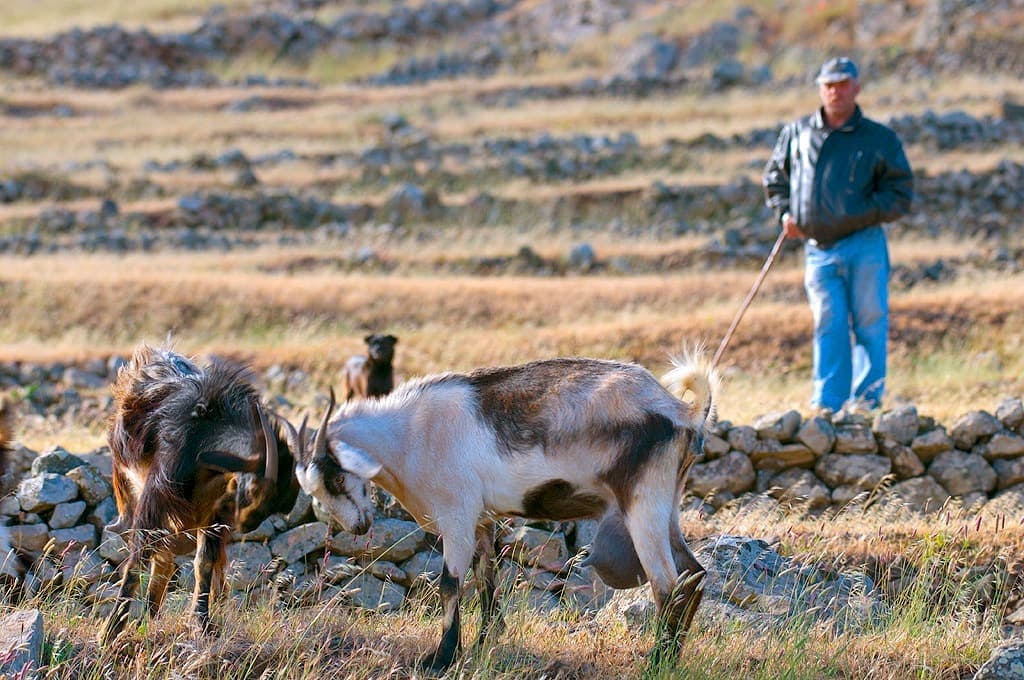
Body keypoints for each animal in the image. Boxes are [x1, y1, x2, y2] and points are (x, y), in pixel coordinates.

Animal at [98, 346, 299, 643]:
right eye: (254, 487)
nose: (247, 525)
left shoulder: (216, 513)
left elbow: (204, 562)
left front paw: (202, 623)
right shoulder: (155, 499)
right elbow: (137, 559)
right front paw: (110, 630)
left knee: (169, 560)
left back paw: (153, 615)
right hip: (127, 488)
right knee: (157, 554)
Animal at [292, 352, 716, 671]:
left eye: (336, 478)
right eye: (314, 488)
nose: (358, 526)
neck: (408, 433)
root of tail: (684, 411)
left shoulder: (457, 515)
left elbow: (450, 584)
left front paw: (441, 659)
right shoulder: (481, 521)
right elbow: (486, 580)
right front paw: (485, 643)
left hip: (643, 503)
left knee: (667, 584)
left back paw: (656, 661)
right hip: (666, 506)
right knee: (694, 575)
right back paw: (671, 658)